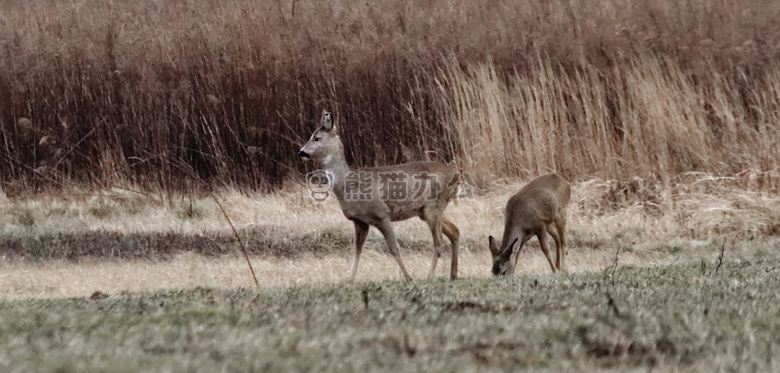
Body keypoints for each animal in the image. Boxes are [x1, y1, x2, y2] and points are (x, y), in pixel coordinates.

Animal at [298, 109, 458, 280]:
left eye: (316, 138)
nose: (301, 152)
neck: (350, 186)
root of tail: (455, 175)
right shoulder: (360, 221)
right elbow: (357, 250)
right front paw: (350, 280)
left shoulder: (381, 214)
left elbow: (394, 248)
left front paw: (408, 278)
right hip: (426, 211)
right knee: (454, 231)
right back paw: (453, 274)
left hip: (432, 206)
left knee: (439, 242)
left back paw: (430, 276)